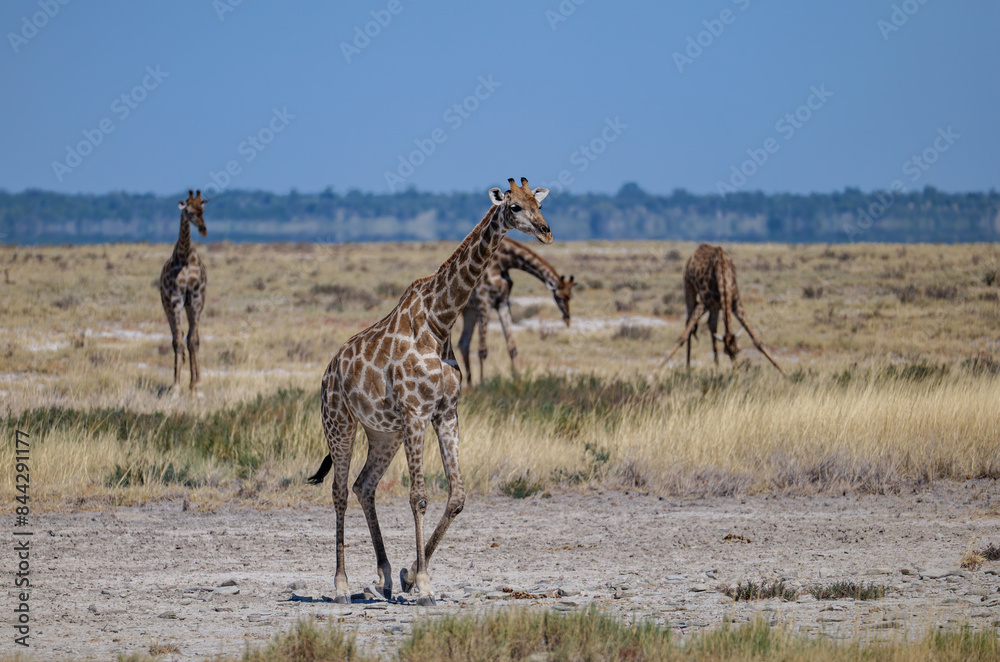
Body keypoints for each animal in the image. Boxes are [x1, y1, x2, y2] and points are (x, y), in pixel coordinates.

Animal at [307, 178, 552, 606]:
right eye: (515, 207)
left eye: (538, 203)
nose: (545, 230)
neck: (440, 322)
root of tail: (328, 371)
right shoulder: (416, 413)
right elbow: (418, 496)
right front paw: (422, 586)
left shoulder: (446, 413)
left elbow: (457, 496)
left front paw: (409, 576)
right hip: (339, 423)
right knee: (338, 491)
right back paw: (341, 585)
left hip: (382, 433)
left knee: (363, 486)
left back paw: (386, 577)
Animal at [456, 237, 574, 385]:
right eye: (560, 296)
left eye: (571, 296)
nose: (567, 319)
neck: (502, 262)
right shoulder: (484, 301)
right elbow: (482, 349)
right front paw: (483, 383)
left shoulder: (503, 302)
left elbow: (512, 347)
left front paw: (518, 379)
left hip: (469, 311)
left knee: (463, 343)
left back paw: (470, 384)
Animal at [660, 244, 784, 374]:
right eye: (726, 352)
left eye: (738, 350)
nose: (736, 369)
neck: (723, 275)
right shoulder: (703, 304)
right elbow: (682, 337)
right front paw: (658, 368)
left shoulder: (736, 304)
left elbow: (757, 340)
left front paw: (783, 371)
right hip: (689, 288)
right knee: (689, 323)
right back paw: (688, 366)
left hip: (715, 307)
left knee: (711, 324)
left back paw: (717, 367)